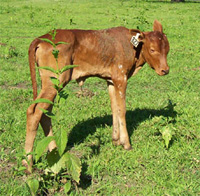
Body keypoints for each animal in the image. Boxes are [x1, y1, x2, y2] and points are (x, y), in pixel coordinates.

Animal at [23, 19, 170, 172]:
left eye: (167, 49)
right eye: (152, 49)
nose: (165, 70)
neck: (134, 48)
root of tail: (41, 38)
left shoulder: (110, 80)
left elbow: (114, 108)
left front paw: (115, 140)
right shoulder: (121, 77)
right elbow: (122, 109)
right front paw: (126, 143)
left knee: (45, 113)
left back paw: (54, 152)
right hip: (55, 80)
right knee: (34, 112)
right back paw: (28, 163)